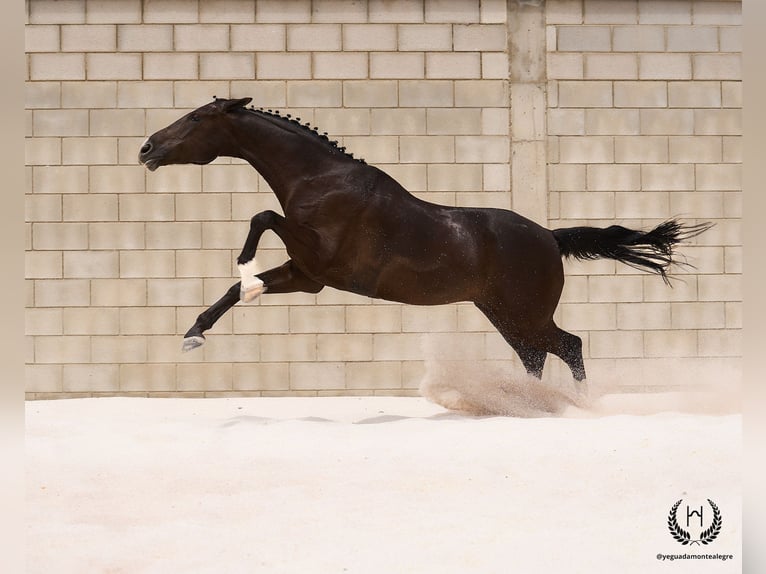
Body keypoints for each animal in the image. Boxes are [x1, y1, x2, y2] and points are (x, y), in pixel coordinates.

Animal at [138, 100, 712, 396]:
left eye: (196, 118)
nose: (146, 147)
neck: (322, 180)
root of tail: (550, 238)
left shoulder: (323, 259)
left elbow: (262, 218)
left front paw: (243, 262)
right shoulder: (308, 276)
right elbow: (238, 292)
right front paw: (194, 335)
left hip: (524, 312)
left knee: (568, 346)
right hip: (505, 314)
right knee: (539, 354)